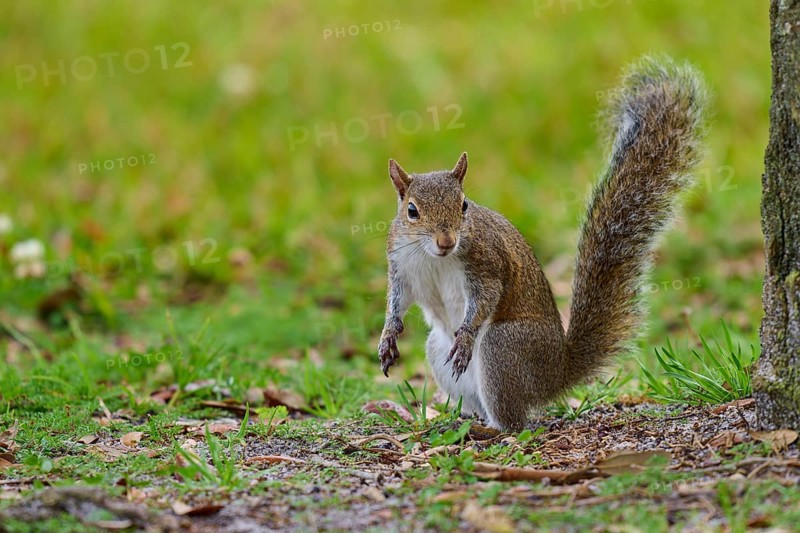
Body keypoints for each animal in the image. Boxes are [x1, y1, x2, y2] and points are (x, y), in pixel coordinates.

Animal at [377, 57, 707, 431]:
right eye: (411, 211)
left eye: (464, 205)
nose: (447, 241)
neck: (434, 256)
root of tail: (555, 373)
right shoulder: (401, 265)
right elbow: (397, 301)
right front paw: (388, 337)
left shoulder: (486, 263)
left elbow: (486, 297)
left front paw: (464, 336)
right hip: (439, 351)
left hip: (503, 348)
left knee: (514, 421)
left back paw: (489, 428)